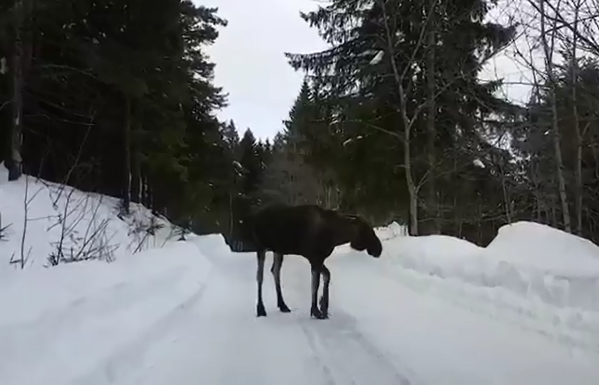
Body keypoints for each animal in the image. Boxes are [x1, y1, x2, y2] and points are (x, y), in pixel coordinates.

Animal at [244, 204, 384, 318]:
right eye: (365, 229)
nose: (379, 249)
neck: (336, 235)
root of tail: (254, 217)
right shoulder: (314, 258)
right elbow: (315, 284)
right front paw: (316, 310)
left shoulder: (318, 259)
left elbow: (327, 276)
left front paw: (323, 306)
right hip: (261, 247)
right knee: (260, 276)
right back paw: (261, 309)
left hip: (278, 250)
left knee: (275, 271)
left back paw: (282, 305)